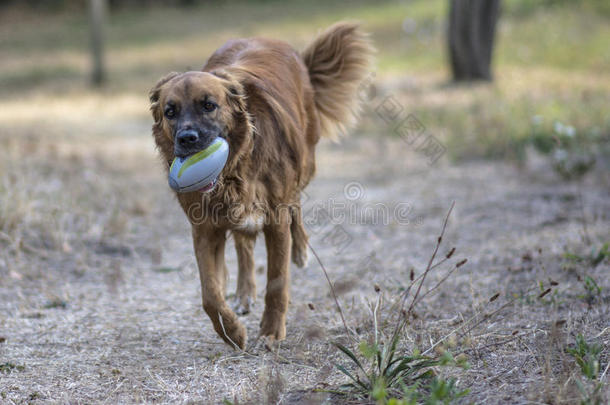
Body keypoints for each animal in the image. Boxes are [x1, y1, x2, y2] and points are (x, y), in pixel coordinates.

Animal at [150, 21, 372, 348]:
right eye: (170, 111)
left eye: (209, 105)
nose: (187, 139)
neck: (236, 167)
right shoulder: (205, 228)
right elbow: (210, 295)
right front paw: (232, 332)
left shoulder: (275, 219)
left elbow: (277, 282)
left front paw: (270, 331)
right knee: (244, 244)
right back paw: (244, 293)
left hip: (305, 163)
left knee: (296, 203)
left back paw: (301, 249)